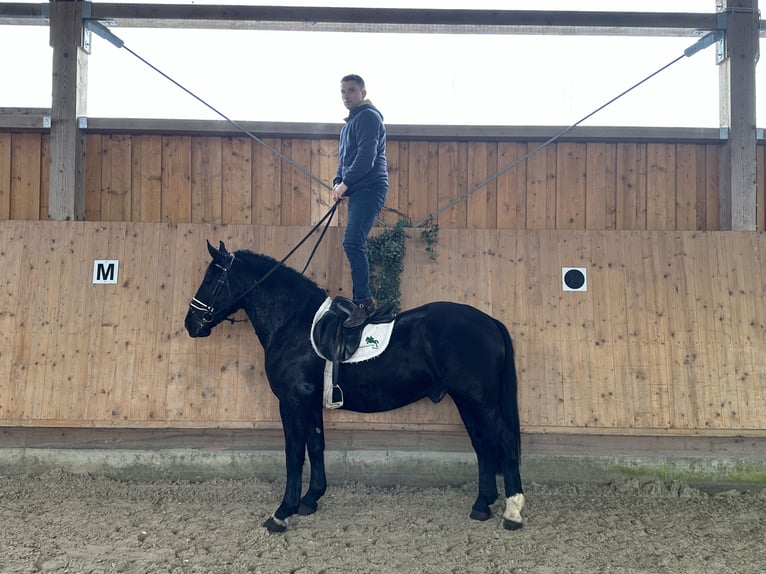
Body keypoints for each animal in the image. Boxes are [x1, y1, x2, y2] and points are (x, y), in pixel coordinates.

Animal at [184, 241, 528, 532]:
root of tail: (489, 322)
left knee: (504, 441)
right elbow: (316, 445)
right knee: (482, 444)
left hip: (478, 400)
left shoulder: (292, 401)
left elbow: (294, 453)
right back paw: (482, 505)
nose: (191, 324)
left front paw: (282, 513)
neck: (294, 324)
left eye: (211, 278)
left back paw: (512, 512)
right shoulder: (310, 402)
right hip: (467, 400)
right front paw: (310, 500)